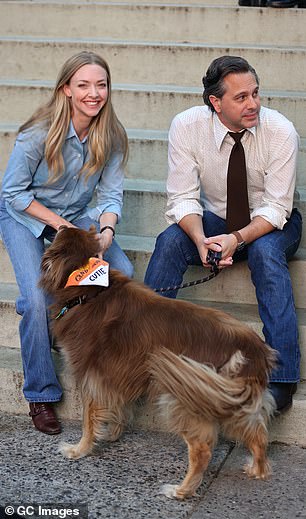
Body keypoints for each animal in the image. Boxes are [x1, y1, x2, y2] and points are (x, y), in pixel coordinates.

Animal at [39, 226, 276, 500]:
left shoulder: (90, 375)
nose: (59, 225)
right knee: (258, 434)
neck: (89, 290)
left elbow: (88, 420)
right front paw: (112, 433)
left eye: (62, 233)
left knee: (202, 449)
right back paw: (258, 469)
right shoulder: (115, 375)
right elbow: (118, 407)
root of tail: (253, 348)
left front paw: (80, 449)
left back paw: (181, 490)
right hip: (225, 398)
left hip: (185, 394)